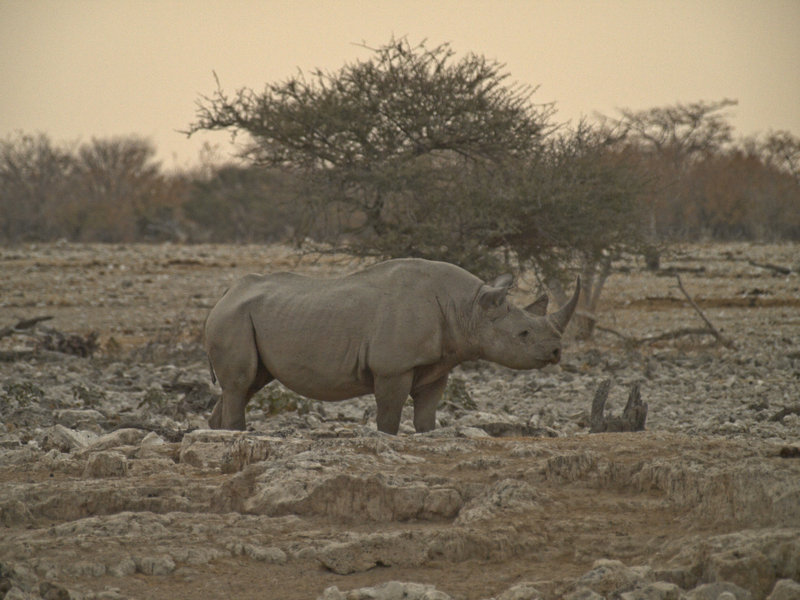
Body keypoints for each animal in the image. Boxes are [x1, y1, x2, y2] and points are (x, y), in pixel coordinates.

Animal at [204, 258, 580, 434]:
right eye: (524, 334)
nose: (556, 353)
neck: (470, 308)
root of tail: (224, 295)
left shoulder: (438, 364)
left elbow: (427, 415)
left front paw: (427, 433)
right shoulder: (392, 368)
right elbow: (388, 418)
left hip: (252, 316)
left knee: (249, 384)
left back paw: (219, 431)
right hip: (233, 318)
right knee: (240, 383)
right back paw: (236, 433)